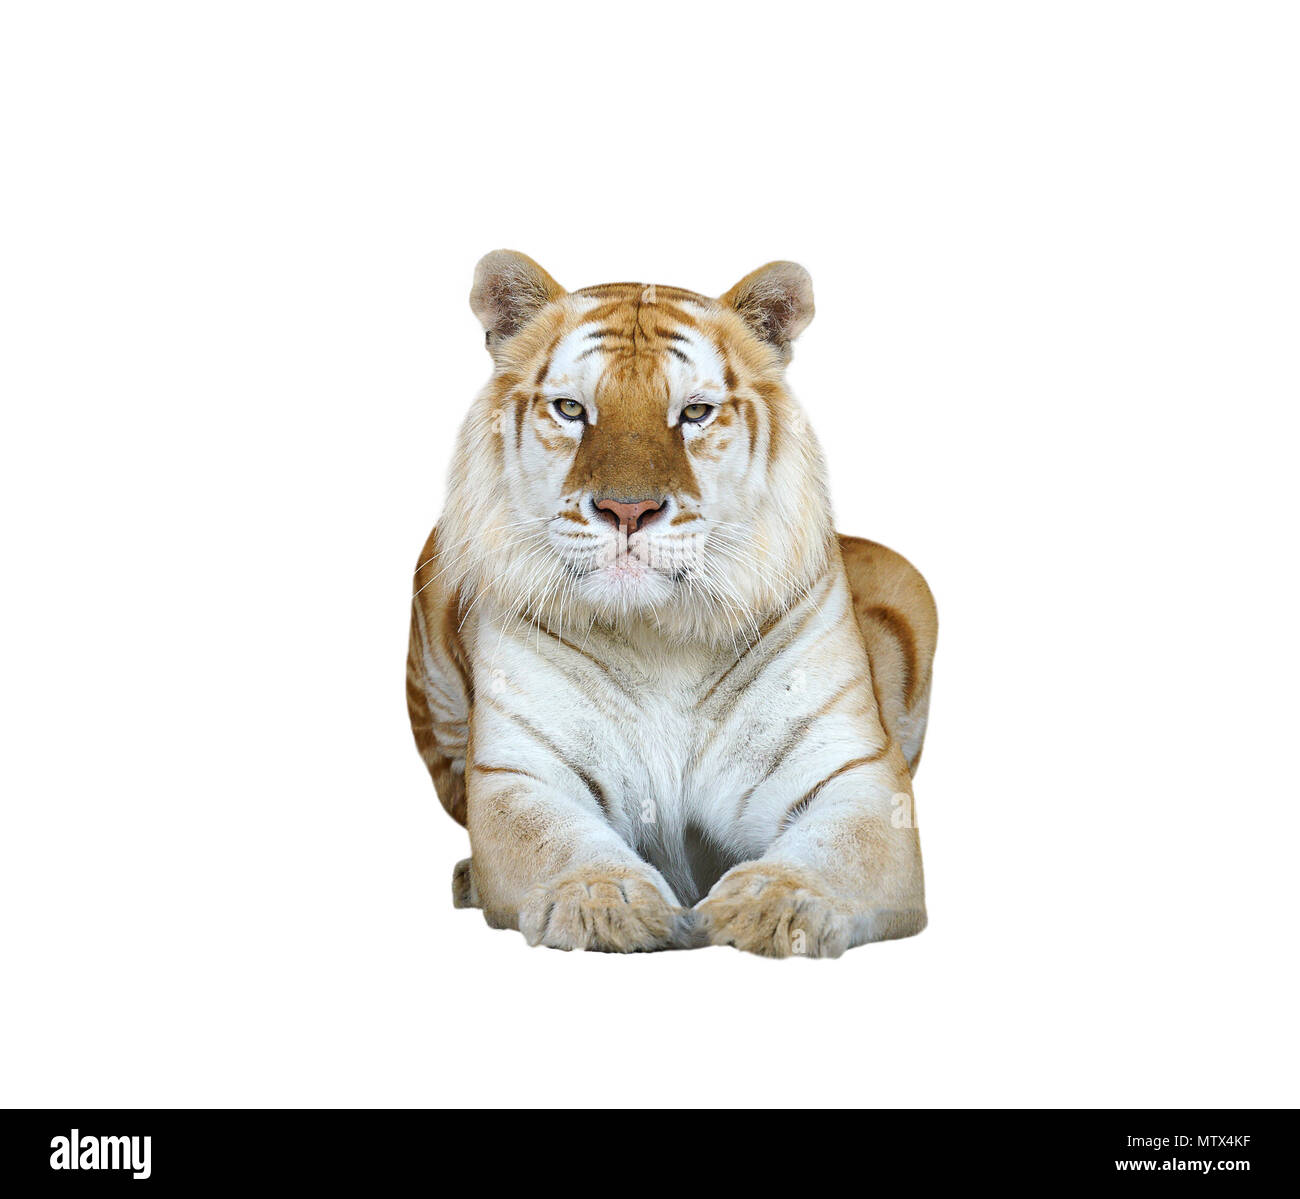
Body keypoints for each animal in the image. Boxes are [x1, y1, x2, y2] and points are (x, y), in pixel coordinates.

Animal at [406, 250, 937, 957]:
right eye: (571, 408)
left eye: (695, 412)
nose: (627, 509)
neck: (658, 636)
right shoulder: (519, 773)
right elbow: (556, 843)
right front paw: (604, 901)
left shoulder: (857, 775)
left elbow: (836, 850)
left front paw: (774, 907)